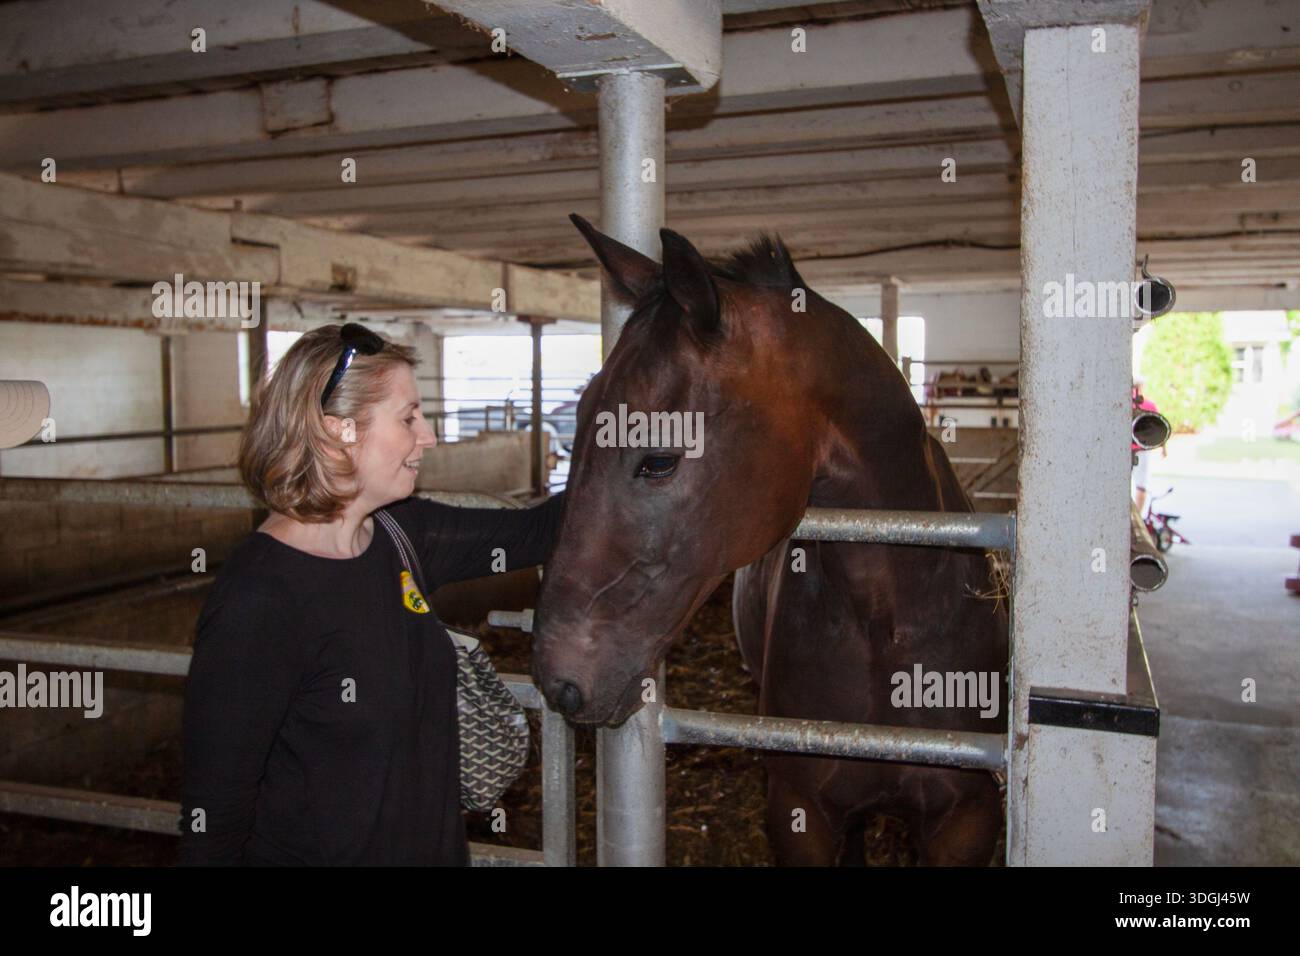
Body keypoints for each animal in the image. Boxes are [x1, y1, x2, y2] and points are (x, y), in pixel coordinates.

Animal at [531, 214, 1007, 866]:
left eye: (659, 460)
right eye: (575, 424)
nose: (558, 681)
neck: (890, 621)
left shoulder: (966, 819)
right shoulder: (800, 813)